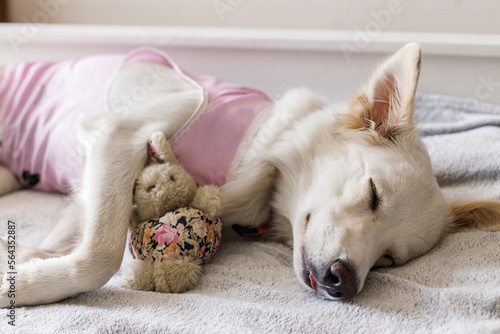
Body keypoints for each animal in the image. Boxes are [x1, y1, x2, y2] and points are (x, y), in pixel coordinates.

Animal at [0, 43, 500, 306]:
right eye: (373, 194)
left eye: (392, 259)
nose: (345, 281)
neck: (261, 154)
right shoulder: (117, 136)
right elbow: (99, 256)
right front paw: (23, 287)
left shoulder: (93, 181)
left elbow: (65, 240)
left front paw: (27, 261)